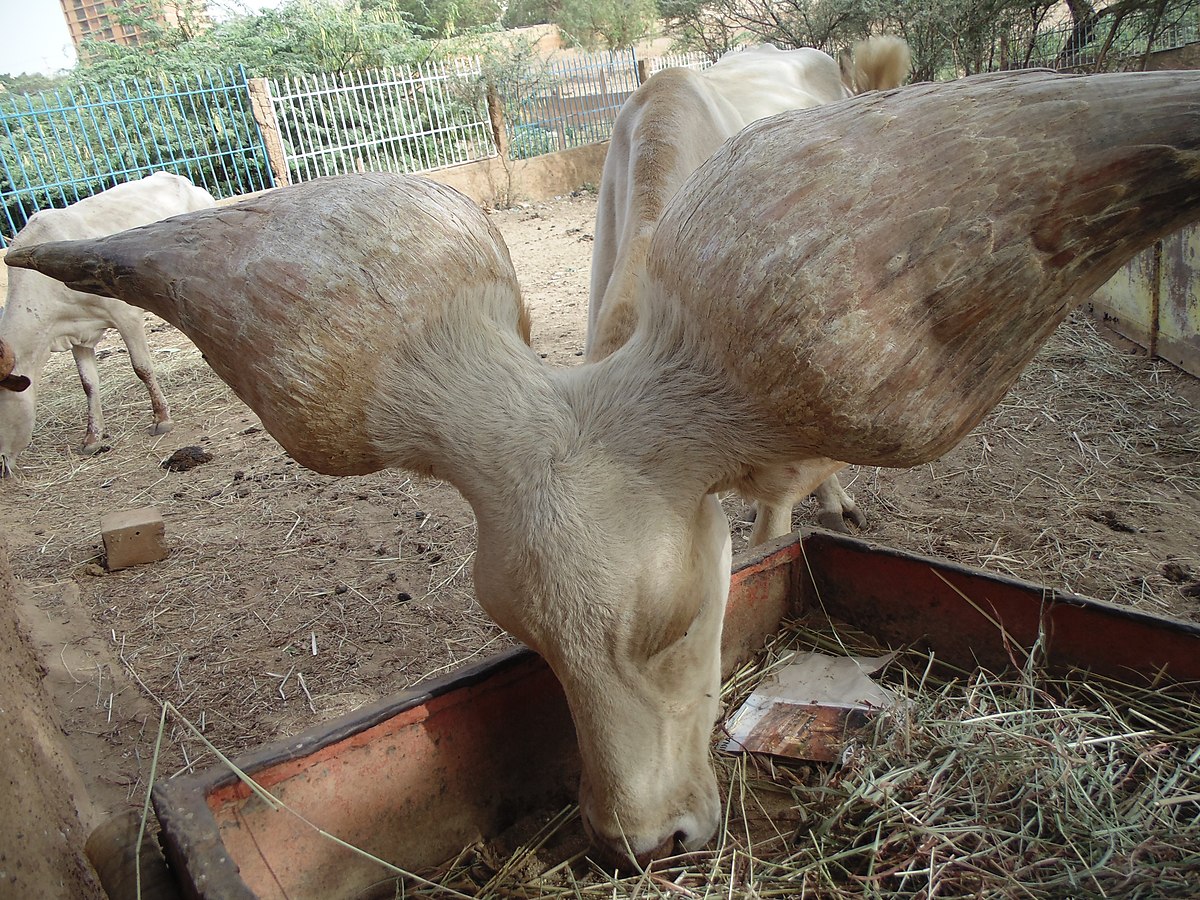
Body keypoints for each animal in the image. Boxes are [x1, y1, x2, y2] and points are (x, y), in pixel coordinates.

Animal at [1, 171, 216, 475]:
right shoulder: (77, 335)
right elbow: (88, 384)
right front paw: (92, 437)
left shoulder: (125, 316)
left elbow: (142, 368)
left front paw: (161, 418)